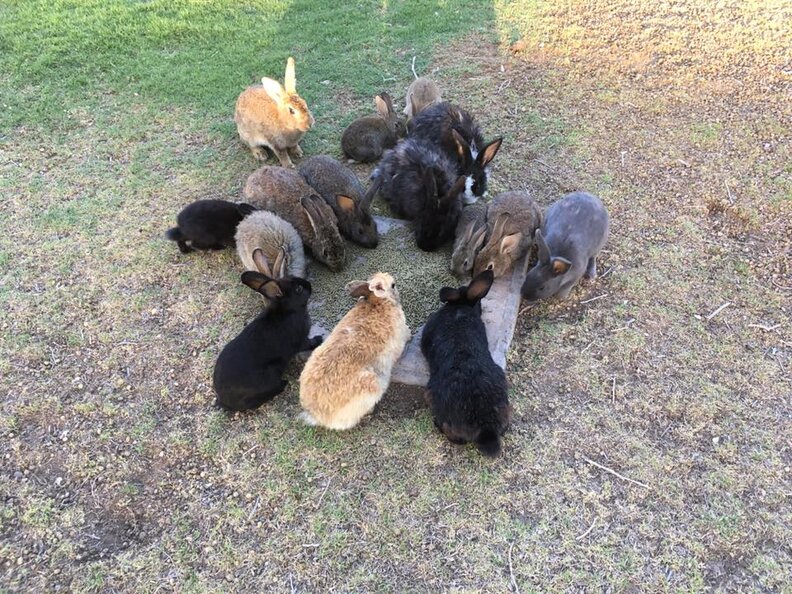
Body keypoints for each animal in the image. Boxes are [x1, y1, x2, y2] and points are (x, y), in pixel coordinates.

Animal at [213, 270, 323, 412]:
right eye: (298, 289)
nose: (309, 285)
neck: (288, 311)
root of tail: (225, 401)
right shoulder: (300, 340)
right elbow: (309, 343)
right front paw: (319, 339)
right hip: (270, 374)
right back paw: (284, 384)